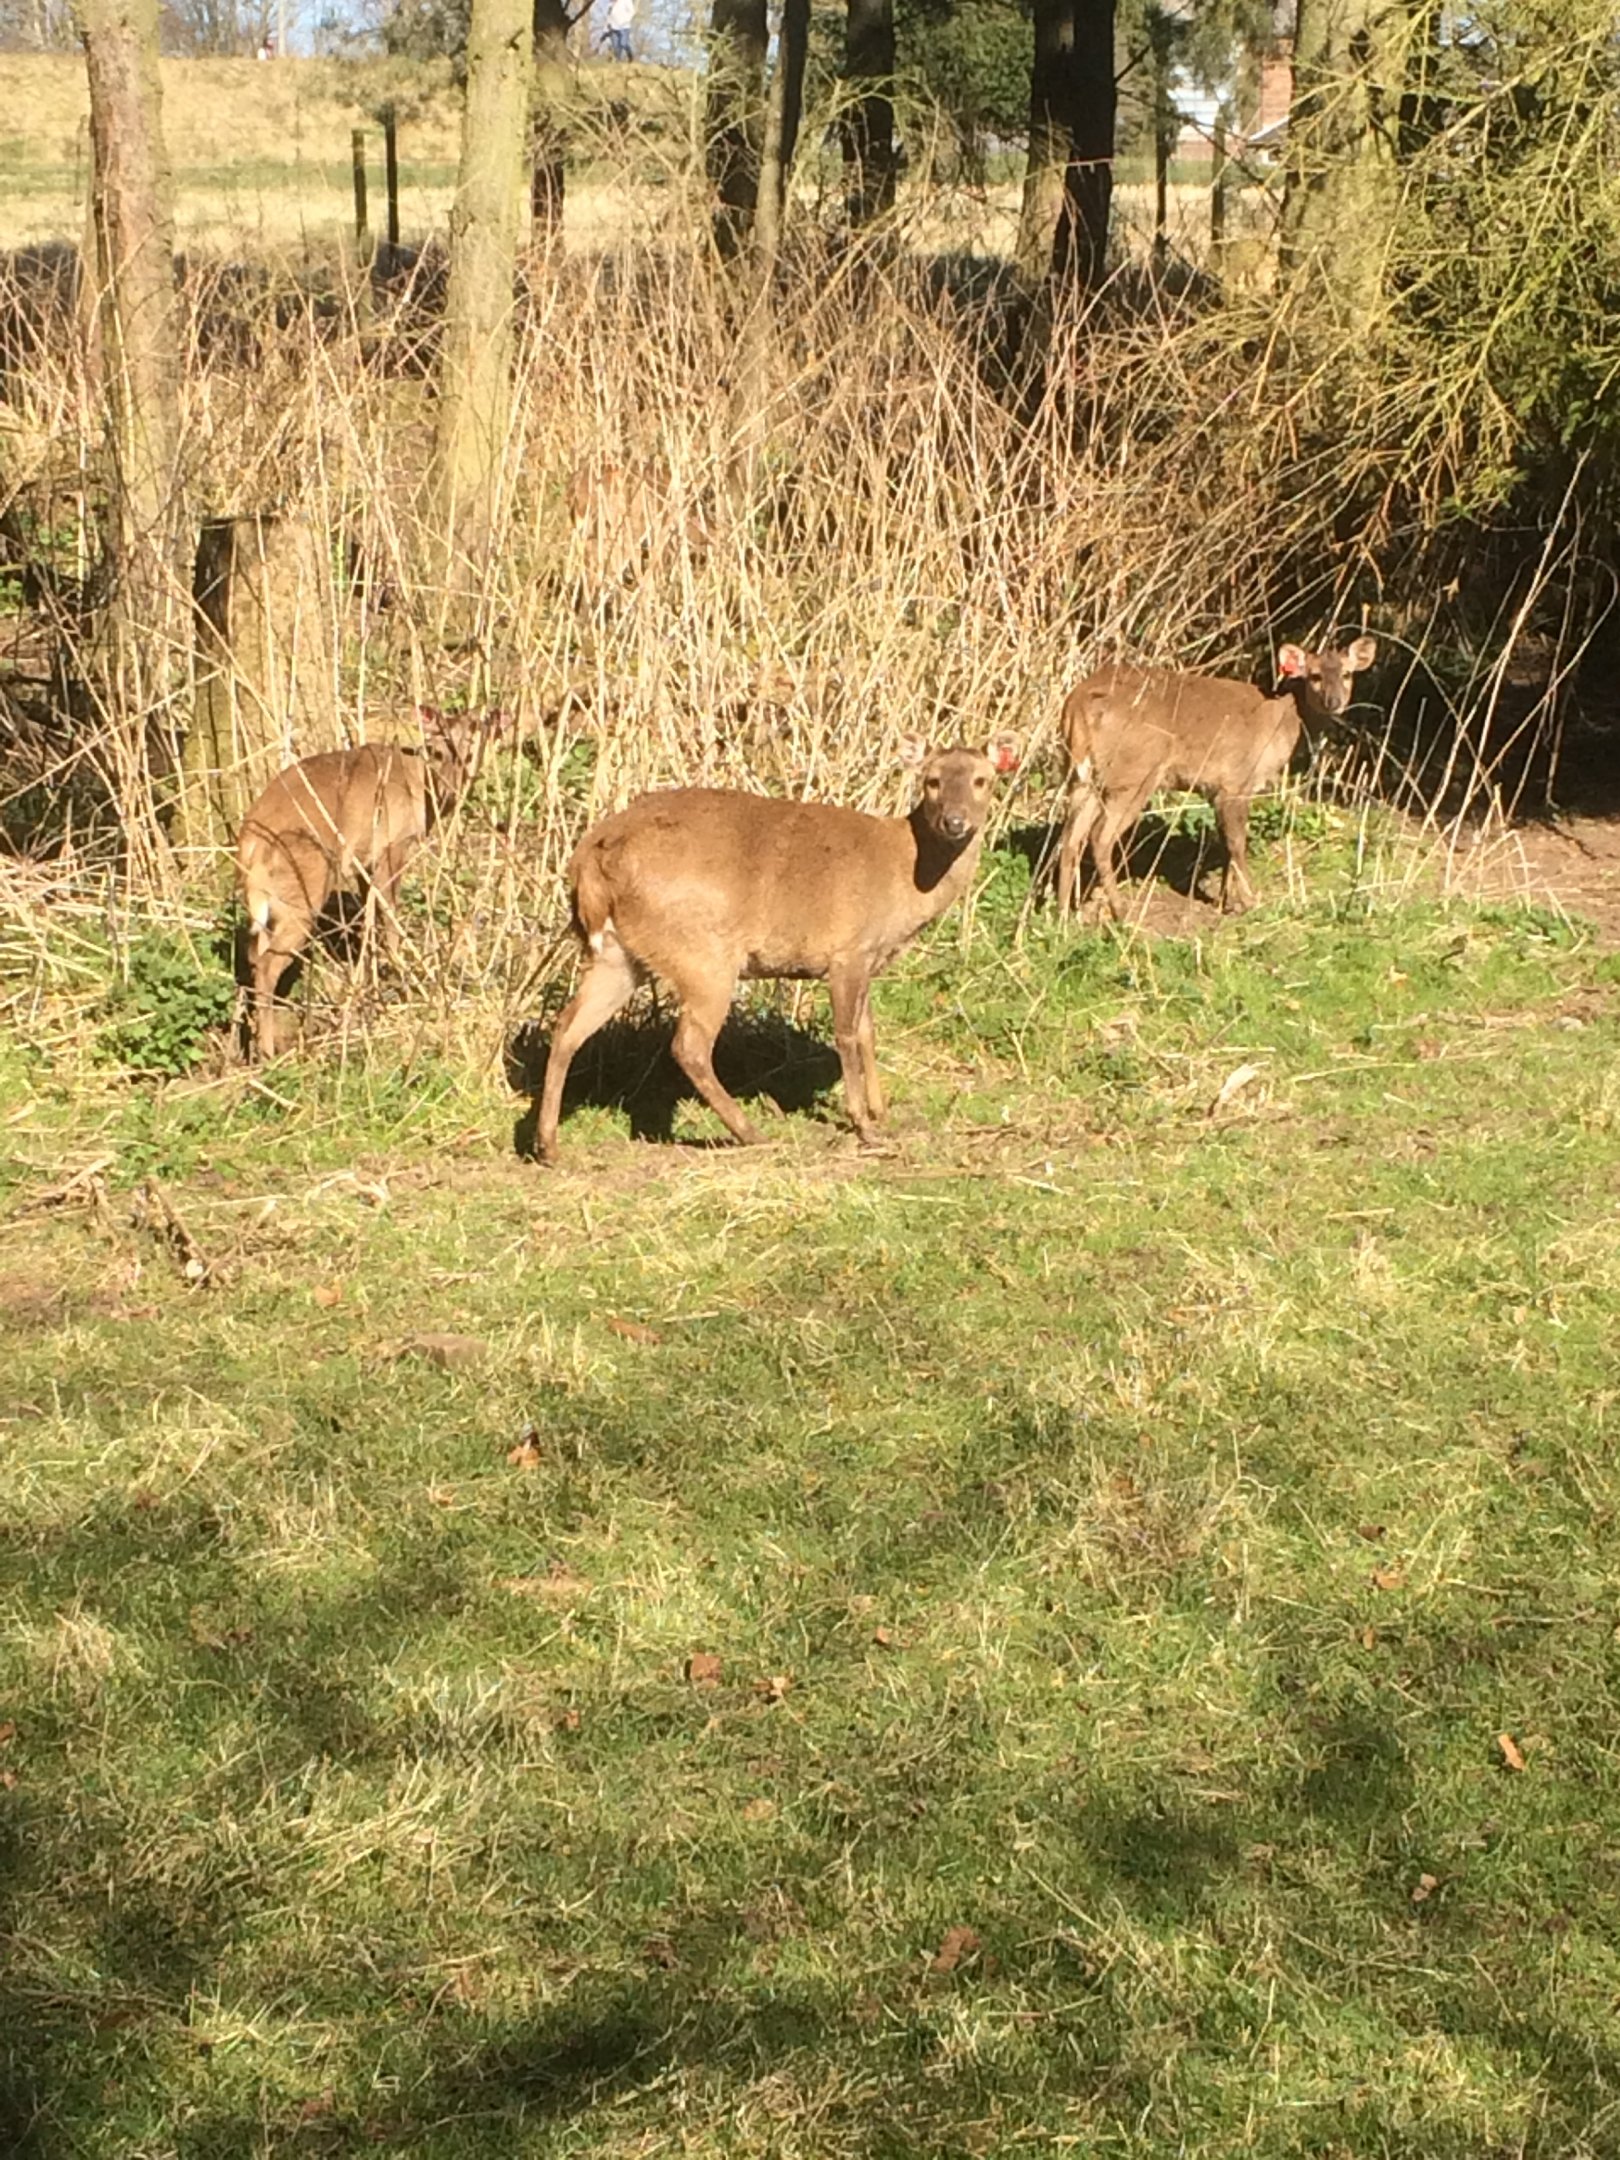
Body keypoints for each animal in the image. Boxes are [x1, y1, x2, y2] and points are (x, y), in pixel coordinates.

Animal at [236, 706, 504, 1061]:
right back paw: (269, 1053)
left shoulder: (364, 861)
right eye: (436, 751)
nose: (449, 790)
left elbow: (370, 918)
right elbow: (389, 918)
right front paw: (402, 983)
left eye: (472, 751)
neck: (417, 786)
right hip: (304, 889)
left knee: (254, 955)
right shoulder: (392, 846)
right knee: (267, 964)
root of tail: (251, 845)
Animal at [534, 734, 1022, 1164]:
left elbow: (868, 1030)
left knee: (568, 1026)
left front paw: (881, 1113)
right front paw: (863, 1124)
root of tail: (590, 860)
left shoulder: (867, 958)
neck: (905, 876)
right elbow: (847, 1035)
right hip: (703, 953)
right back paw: (751, 1133)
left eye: (982, 780)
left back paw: (548, 1146)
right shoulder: (847, 951)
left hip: (619, 955)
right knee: (689, 1044)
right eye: (932, 780)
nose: (955, 822)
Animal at [1054, 637, 1378, 918]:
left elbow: (1224, 844)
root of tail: (1077, 703)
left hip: (1083, 777)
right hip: (1134, 774)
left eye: (1347, 674)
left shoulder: (1216, 790)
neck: (1281, 721)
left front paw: (1226, 900)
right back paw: (1121, 912)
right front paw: (1250, 900)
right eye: (1314, 676)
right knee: (1099, 837)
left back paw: (1061, 915)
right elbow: (1237, 844)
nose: (1334, 701)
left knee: (1070, 837)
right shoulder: (1237, 781)